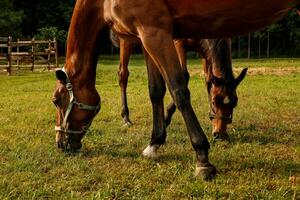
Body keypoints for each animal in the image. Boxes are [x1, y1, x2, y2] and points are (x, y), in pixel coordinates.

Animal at [110, 32, 246, 140]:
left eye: (234, 103)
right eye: (214, 102)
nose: (220, 134)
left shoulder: (204, 51)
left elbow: (208, 81)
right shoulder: (179, 43)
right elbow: (184, 76)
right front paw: (166, 117)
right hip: (126, 41)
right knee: (123, 75)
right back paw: (126, 117)